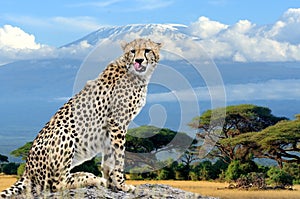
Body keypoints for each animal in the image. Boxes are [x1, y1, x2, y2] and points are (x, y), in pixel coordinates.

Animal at [1, 38, 162, 197]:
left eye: (147, 50)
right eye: (133, 51)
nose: (139, 60)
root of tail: (26, 171)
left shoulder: (111, 128)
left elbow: (108, 159)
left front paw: (111, 184)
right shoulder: (117, 123)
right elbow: (119, 157)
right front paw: (121, 184)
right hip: (64, 131)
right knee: (56, 184)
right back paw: (89, 178)